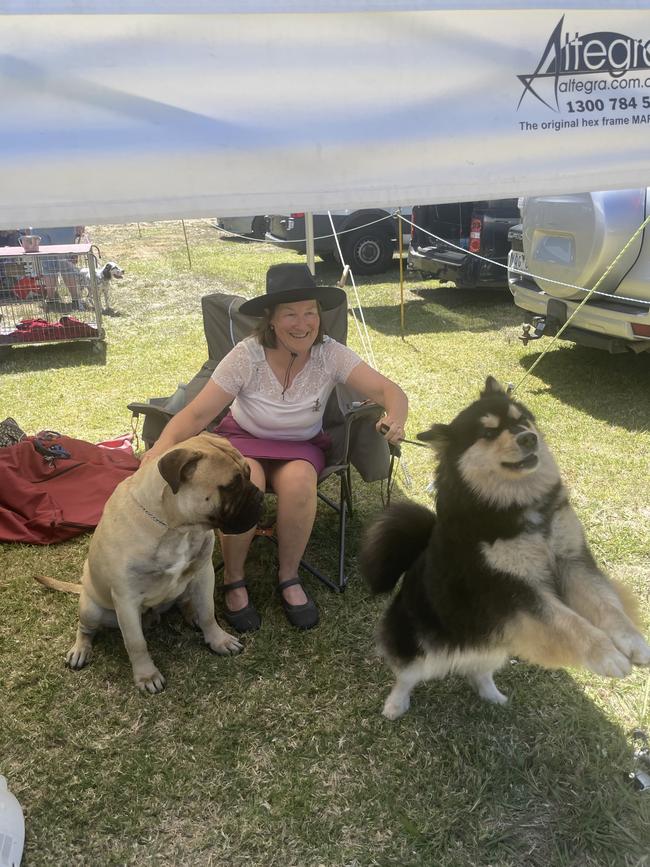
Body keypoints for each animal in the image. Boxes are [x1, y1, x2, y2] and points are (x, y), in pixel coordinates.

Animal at [34, 438, 264, 696]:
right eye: (231, 486)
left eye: (249, 473)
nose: (260, 496)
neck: (175, 527)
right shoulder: (126, 599)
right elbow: (136, 643)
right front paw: (147, 675)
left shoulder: (204, 573)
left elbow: (208, 613)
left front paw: (218, 640)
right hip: (91, 609)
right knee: (85, 629)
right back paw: (81, 649)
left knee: (186, 602)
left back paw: (191, 614)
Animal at [360, 376, 648, 724]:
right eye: (487, 434)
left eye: (521, 420)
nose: (529, 438)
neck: (517, 506)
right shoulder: (513, 589)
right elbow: (571, 622)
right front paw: (606, 655)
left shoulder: (571, 562)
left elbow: (607, 606)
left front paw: (633, 641)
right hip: (417, 646)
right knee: (406, 676)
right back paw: (395, 705)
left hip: (495, 645)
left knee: (479, 672)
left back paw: (492, 695)